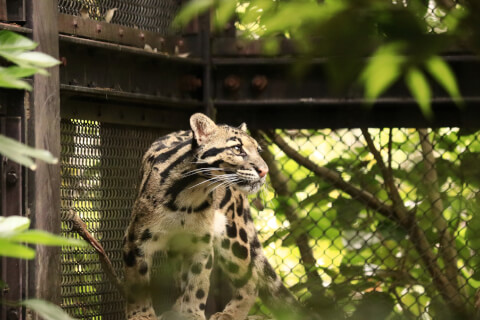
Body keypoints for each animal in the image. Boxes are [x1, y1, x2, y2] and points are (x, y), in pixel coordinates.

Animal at [124, 114, 302, 318]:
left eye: (258, 150)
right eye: (237, 148)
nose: (265, 171)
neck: (189, 194)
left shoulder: (202, 242)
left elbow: (198, 284)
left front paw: (192, 313)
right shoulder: (136, 239)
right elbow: (137, 283)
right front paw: (140, 315)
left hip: (232, 236)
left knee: (251, 280)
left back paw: (231, 314)